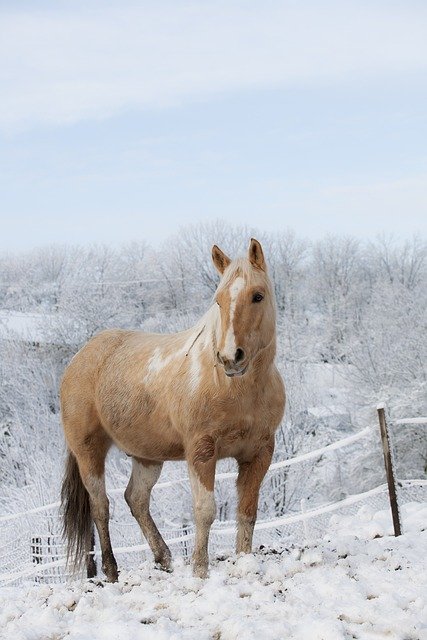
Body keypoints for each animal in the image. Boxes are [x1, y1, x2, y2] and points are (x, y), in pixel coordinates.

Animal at [60, 238, 285, 581]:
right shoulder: (201, 452)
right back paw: (112, 571)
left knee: (136, 499)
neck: (232, 388)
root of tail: (79, 358)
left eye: (257, 296)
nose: (230, 357)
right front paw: (200, 570)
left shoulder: (259, 453)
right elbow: (205, 511)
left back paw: (163, 558)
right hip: (89, 451)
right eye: (218, 301)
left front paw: (244, 562)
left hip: (148, 457)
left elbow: (247, 511)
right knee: (101, 506)